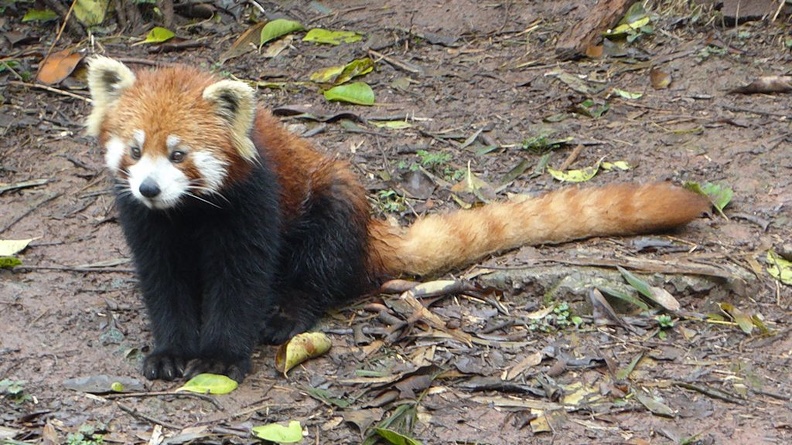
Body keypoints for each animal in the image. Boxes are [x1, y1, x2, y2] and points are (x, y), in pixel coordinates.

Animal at [86, 55, 712, 382]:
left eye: (180, 154)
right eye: (135, 151)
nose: (149, 187)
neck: (186, 213)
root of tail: (372, 229)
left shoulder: (252, 205)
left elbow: (240, 281)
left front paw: (219, 356)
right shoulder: (147, 225)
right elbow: (163, 283)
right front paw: (171, 353)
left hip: (332, 201)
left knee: (325, 264)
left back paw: (288, 313)